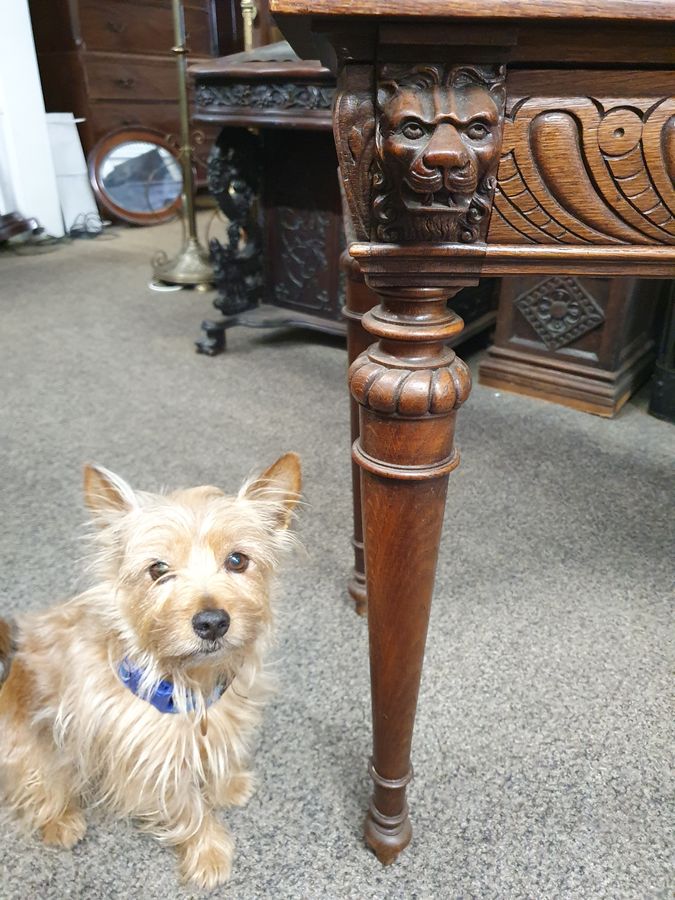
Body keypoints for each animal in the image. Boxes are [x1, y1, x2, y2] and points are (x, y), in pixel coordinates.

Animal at [0, 454, 302, 888]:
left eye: (237, 560)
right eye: (158, 569)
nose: (212, 622)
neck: (185, 680)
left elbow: (217, 757)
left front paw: (227, 786)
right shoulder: (151, 759)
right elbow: (187, 807)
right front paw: (208, 853)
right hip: (25, 744)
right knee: (37, 784)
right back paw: (60, 821)